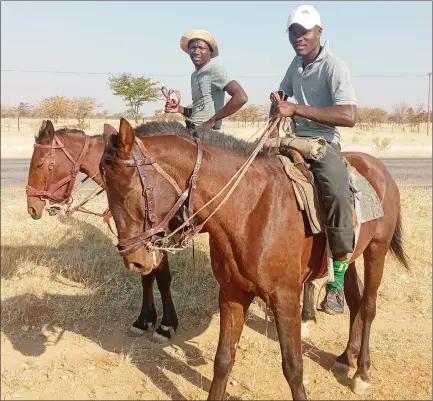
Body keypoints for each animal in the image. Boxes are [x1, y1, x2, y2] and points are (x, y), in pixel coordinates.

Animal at [100, 117, 408, 398]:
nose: (135, 260)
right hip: (352, 256)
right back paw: (346, 358)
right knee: (355, 302)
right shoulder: (232, 293)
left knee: (368, 307)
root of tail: (377, 167)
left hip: (376, 250)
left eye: (129, 191)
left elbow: (293, 367)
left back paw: (362, 373)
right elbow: (223, 360)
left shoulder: (286, 298)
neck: (250, 207)